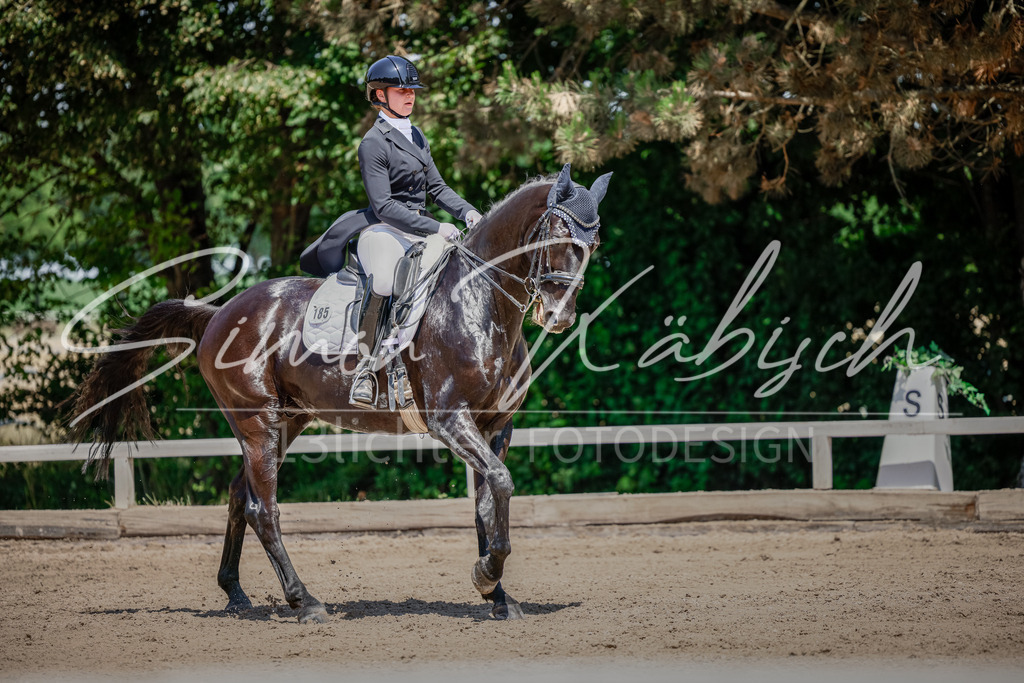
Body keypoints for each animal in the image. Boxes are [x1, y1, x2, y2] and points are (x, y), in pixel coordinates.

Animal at [68, 163, 610, 623]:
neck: (478, 302)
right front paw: (486, 577)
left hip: (286, 421)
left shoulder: (495, 425)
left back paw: (237, 594)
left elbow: (488, 501)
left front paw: (497, 596)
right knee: (263, 509)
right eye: (559, 236)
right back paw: (304, 602)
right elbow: (500, 483)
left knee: (239, 495)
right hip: (257, 420)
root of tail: (219, 313)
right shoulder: (450, 419)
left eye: (594, 243)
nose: (559, 317)